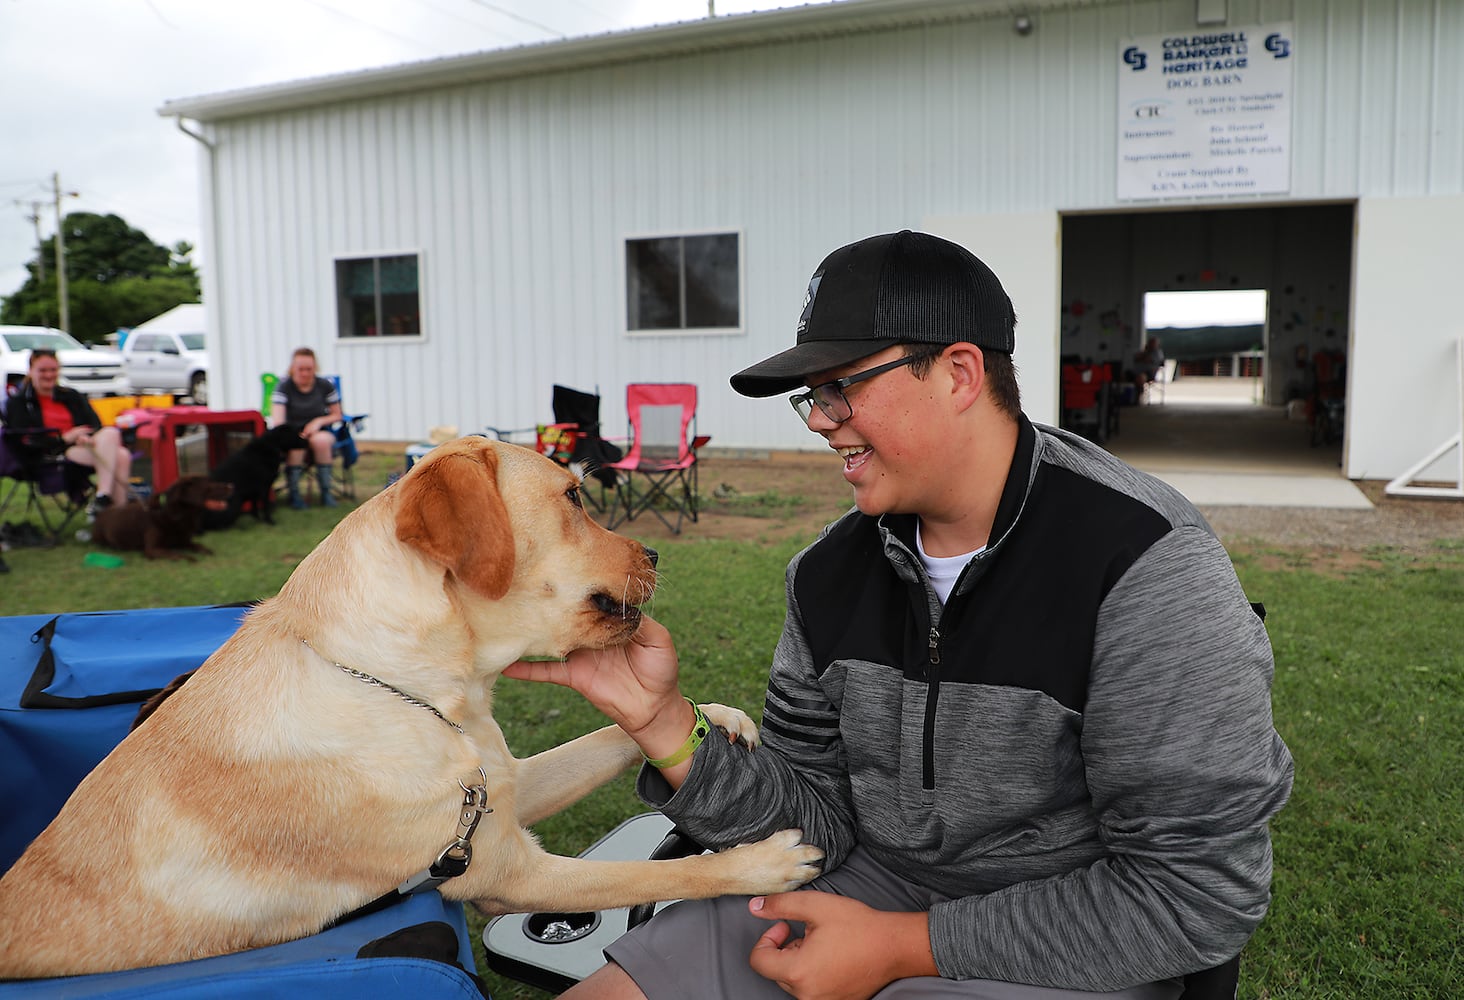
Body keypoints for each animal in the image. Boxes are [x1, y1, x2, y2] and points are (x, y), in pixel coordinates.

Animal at [92, 474, 234, 559]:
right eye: (209, 485)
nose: (231, 486)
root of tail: (101, 513)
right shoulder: (152, 549)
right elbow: (176, 554)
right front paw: (190, 558)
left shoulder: (184, 541)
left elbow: (198, 546)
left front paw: (206, 550)